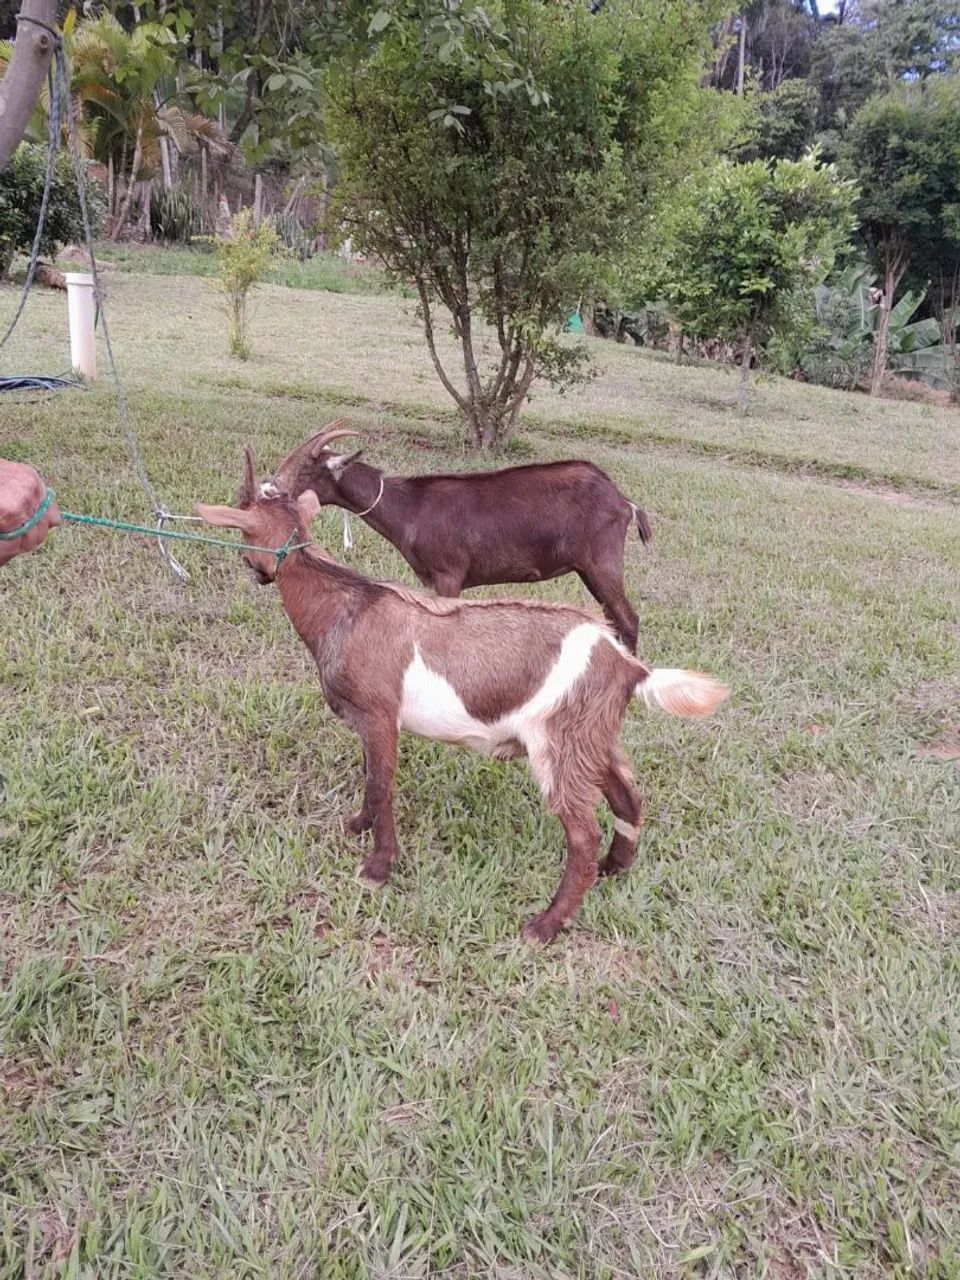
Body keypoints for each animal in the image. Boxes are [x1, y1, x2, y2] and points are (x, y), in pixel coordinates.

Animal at [197, 449, 728, 945]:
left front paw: (377, 868)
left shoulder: (380, 714)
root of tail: (628, 666)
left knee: (583, 835)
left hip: (559, 742)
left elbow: (382, 784)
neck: (346, 605)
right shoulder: (368, 723)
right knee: (628, 795)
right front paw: (357, 825)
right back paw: (613, 869)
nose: (254, 572)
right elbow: (371, 777)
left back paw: (545, 925)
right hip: (594, 739)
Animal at [270, 421, 653, 654]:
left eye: (305, 470)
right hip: (588, 569)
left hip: (602, 561)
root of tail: (624, 502)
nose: (270, 489)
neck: (410, 508)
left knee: (628, 619)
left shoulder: (448, 575)